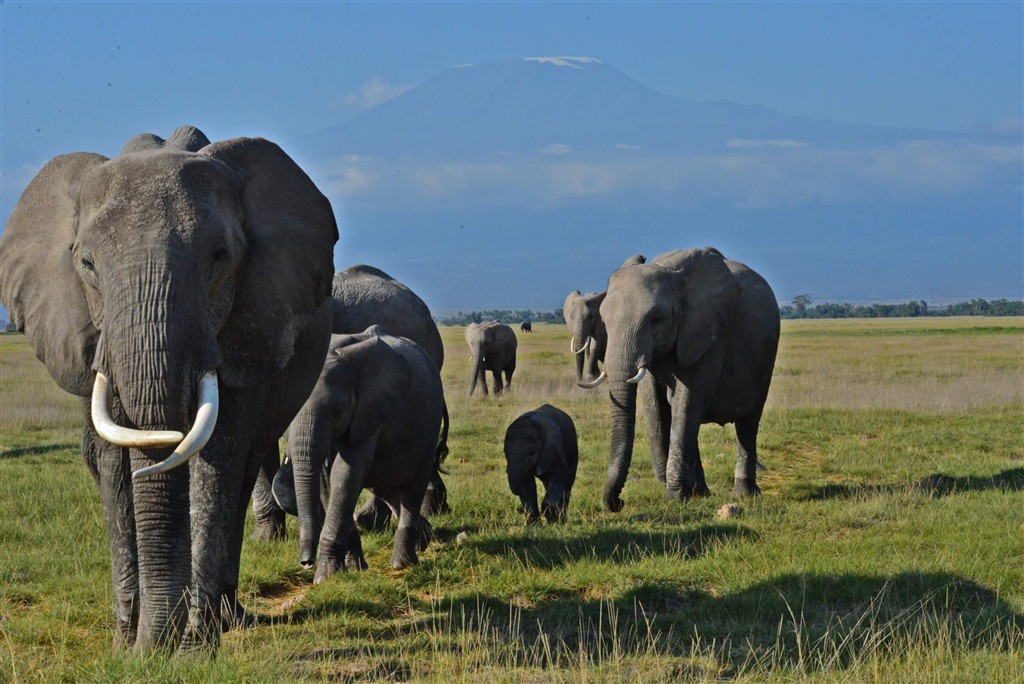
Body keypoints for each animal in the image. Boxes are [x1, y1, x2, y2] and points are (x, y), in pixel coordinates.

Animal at [0, 126, 337, 653]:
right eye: (87, 264)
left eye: (220, 258)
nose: (155, 645)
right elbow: (113, 461)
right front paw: (129, 647)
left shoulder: (245, 329)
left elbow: (215, 460)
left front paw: (191, 648)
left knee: (242, 472)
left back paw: (225, 618)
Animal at [284, 327, 444, 582]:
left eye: (338, 411)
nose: (305, 563)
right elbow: (328, 483)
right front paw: (354, 567)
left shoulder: (370, 414)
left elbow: (345, 476)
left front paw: (325, 577)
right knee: (386, 489)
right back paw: (424, 538)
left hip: (429, 427)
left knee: (412, 489)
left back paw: (403, 563)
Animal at [586, 247, 779, 509]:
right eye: (604, 321)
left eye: (656, 319)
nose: (619, 503)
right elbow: (656, 406)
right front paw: (680, 492)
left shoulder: (708, 332)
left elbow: (687, 400)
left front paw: (674, 497)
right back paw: (701, 492)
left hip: (765, 358)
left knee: (747, 425)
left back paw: (743, 494)